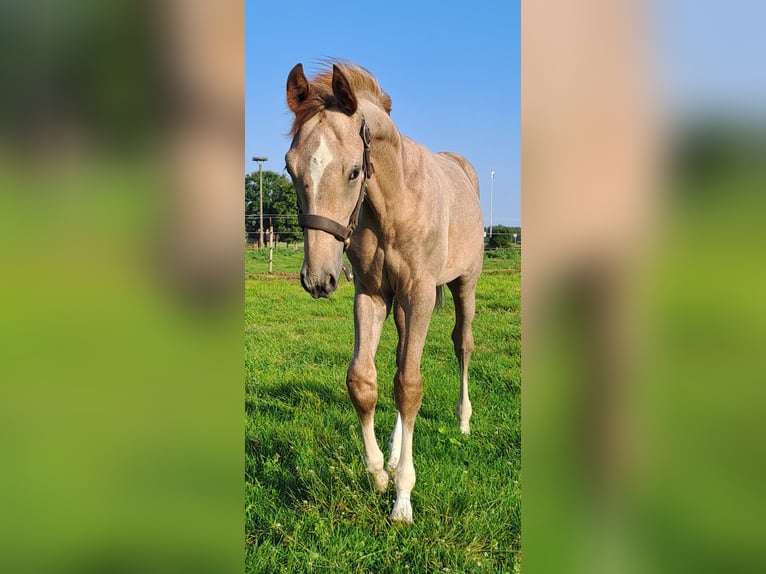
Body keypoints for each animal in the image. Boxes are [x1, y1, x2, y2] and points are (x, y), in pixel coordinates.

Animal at [284, 60, 484, 524]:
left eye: (354, 171)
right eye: (289, 168)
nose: (318, 279)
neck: (394, 203)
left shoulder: (420, 293)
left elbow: (409, 385)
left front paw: (403, 499)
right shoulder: (373, 294)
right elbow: (364, 379)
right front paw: (378, 473)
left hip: (464, 284)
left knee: (462, 345)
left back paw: (463, 422)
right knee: (396, 358)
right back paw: (393, 452)